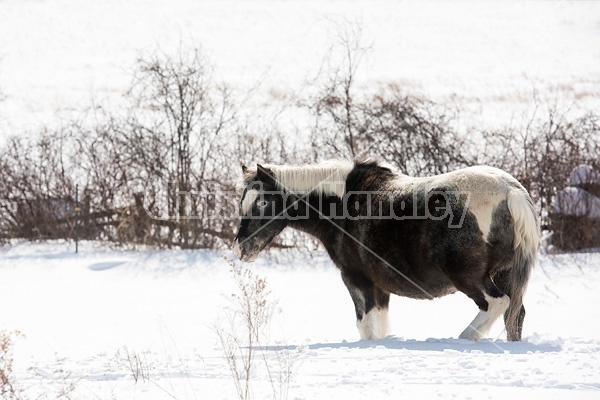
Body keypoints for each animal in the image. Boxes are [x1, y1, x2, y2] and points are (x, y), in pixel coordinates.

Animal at [233, 159, 540, 340]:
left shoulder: (357, 279)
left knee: (496, 304)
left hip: (469, 278)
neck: (343, 204)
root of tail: (510, 191)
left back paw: (465, 338)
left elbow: (367, 327)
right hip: (503, 274)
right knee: (515, 314)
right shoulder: (379, 287)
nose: (241, 249)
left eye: (262, 202)